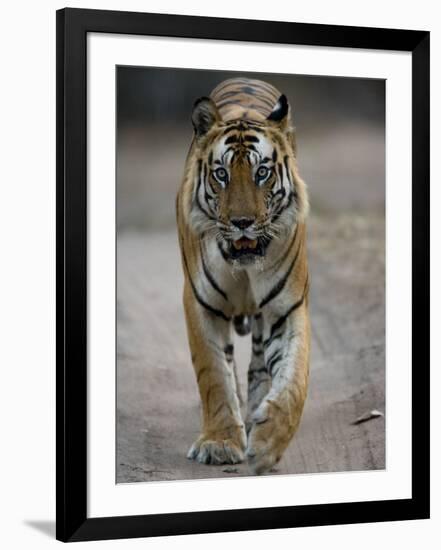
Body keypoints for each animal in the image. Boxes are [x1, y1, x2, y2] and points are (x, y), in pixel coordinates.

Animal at [175, 75, 310, 476]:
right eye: (221, 174)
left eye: (261, 172)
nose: (242, 222)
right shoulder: (201, 304)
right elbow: (214, 376)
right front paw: (220, 443)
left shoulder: (288, 307)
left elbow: (294, 379)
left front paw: (268, 442)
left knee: (261, 363)